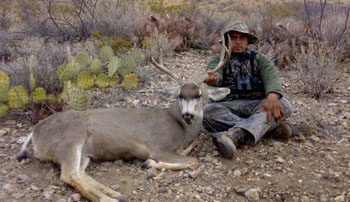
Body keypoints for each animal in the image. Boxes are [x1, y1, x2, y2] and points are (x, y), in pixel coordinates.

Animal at [17, 34, 234, 201]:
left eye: (199, 95)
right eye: (180, 95)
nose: (188, 115)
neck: (179, 127)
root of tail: (35, 132)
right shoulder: (159, 147)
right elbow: (193, 161)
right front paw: (149, 163)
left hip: (84, 153)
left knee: (80, 173)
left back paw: (114, 193)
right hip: (70, 142)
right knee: (69, 175)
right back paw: (109, 198)